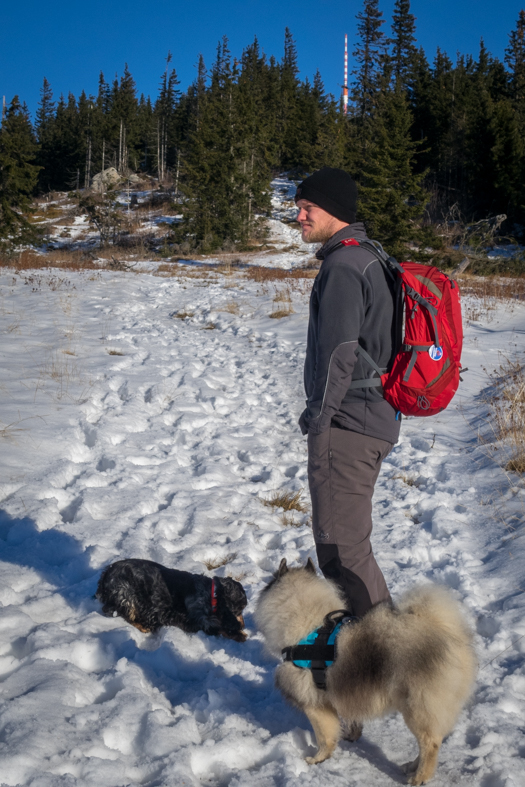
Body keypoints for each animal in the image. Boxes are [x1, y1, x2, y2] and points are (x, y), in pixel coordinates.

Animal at [95, 556, 248, 644]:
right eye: (239, 610)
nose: (243, 625)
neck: (211, 595)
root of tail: (105, 575)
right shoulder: (196, 619)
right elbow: (217, 626)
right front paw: (239, 634)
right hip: (126, 593)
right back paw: (144, 626)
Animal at [254, 556, 474, 784]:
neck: (309, 628)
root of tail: (449, 634)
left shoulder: (315, 706)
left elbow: (324, 737)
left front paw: (317, 759)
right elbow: (344, 725)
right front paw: (350, 737)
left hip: (417, 707)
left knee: (430, 743)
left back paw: (419, 777)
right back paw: (411, 767)